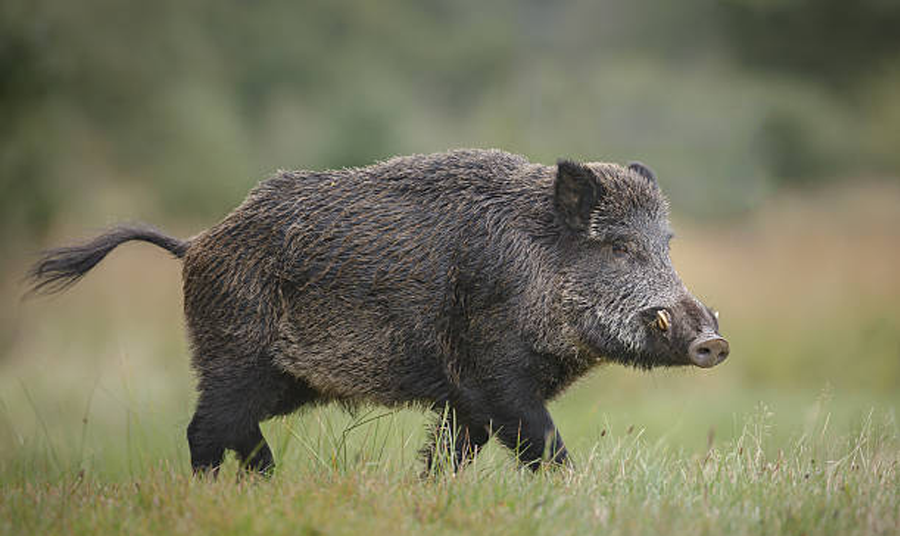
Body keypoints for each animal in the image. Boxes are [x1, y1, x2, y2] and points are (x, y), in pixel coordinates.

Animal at [28, 149, 729, 475]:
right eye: (617, 245)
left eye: (666, 244)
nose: (713, 342)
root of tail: (196, 243)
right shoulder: (493, 375)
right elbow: (544, 446)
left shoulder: (464, 398)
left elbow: (449, 456)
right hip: (234, 356)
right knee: (205, 430)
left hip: (283, 380)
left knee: (235, 431)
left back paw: (270, 483)